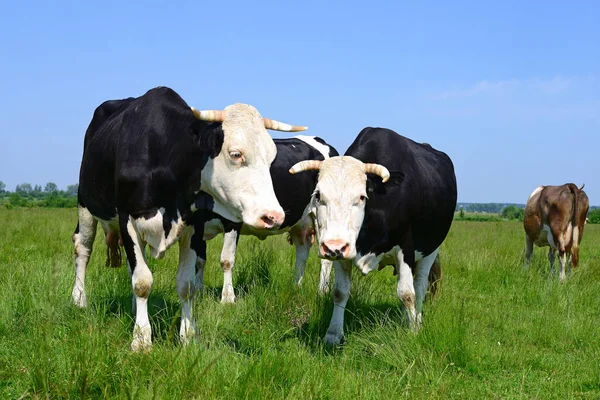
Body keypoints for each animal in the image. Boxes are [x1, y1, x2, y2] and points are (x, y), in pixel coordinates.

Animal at [74, 86, 310, 350]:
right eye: (236, 154)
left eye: (271, 158)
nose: (274, 216)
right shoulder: (128, 220)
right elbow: (142, 282)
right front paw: (141, 339)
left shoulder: (192, 226)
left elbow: (186, 285)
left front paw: (188, 336)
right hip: (85, 205)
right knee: (83, 249)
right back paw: (79, 299)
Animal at [197, 135, 338, 304]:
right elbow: (199, 261)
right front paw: (195, 292)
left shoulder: (232, 221)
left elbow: (226, 260)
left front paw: (228, 299)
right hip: (301, 222)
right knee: (302, 252)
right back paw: (295, 287)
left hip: (322, 217)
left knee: (326, 258)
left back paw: (322, 292)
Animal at [290, 127, 454, 344]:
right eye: (318, 195)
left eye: (361, 197)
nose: (332, 246)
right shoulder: (345, 250)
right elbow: (340, 292)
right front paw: (333, 334)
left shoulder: (406, 247)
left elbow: (407, 293)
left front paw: (412, 333)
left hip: (430, 250)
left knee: (419, 286)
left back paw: (415, 321)